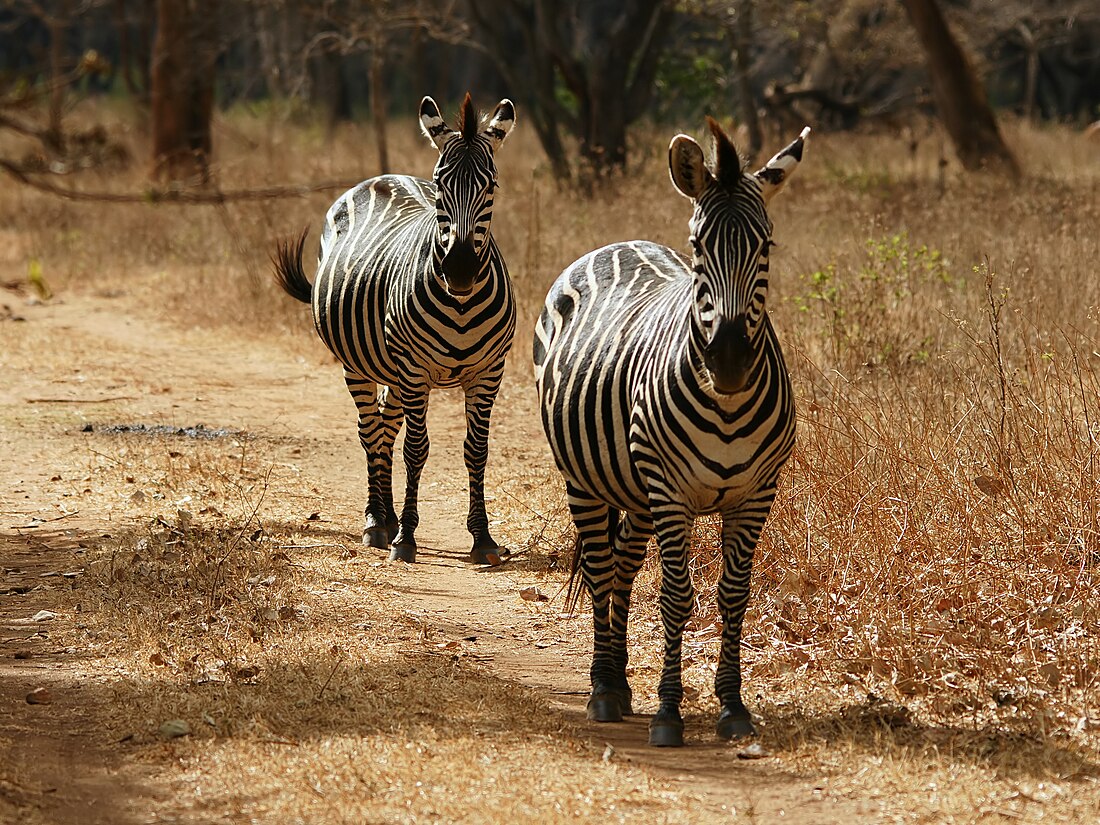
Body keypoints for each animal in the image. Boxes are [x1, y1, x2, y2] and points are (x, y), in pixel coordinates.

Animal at [275, 93, 514, 567]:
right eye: (440, 185)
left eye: (491, 187)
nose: (460, 271)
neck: (461, 302)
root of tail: (383, 177)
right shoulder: (415, 369)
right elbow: (416, 449)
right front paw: (406, 537)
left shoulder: (488, 372)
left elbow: (476, 451)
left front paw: (482, 537)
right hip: (361, 365)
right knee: (370, 431)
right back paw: (377, 522)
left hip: (393, 371)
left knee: (385, 427)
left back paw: (386, 516)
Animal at [532, 119, 809, 748]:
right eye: (698, 247)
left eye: (766, 247)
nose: (727, 362)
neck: (727, 405)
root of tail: (616, 243)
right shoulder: (670, 491)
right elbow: (677, 597)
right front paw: (668, 712)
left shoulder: (756, 494)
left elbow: (733, 596)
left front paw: (732, 706)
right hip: (586, 480)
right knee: (600, 567)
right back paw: (603, 689)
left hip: (633, 490)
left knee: (621, 569)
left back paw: (618, 682)